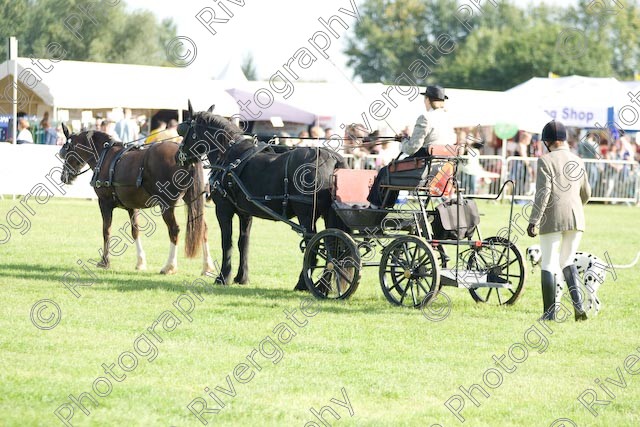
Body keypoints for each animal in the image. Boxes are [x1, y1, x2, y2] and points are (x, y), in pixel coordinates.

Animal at [58, 124, 212, 274]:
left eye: (67, 151)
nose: (63, 177)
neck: (105, 157)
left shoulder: (104, 203)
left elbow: (106, 230)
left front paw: (104, 261)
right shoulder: (132, 206)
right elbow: (135, 231)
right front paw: (140, 262)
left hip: (166, 205)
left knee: (174, 230)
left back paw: (169, 266)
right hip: (192, 200)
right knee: (202, 228)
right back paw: (207, 266)